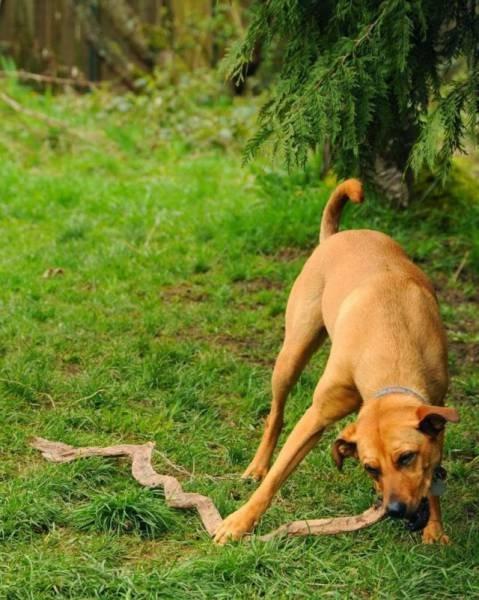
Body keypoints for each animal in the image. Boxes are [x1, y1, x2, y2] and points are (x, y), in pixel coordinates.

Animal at [216, 177, 460, 544]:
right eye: (371, 468)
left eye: (406, 458)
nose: (394, 510)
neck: (391, 347)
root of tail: (335, 236)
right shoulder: (316, 416)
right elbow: (277, 476)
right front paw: (239, 521)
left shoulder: (436, 408)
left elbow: (433, 478)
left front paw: (435, 528)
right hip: (292, 354)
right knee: (276, 416)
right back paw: (257, 466)